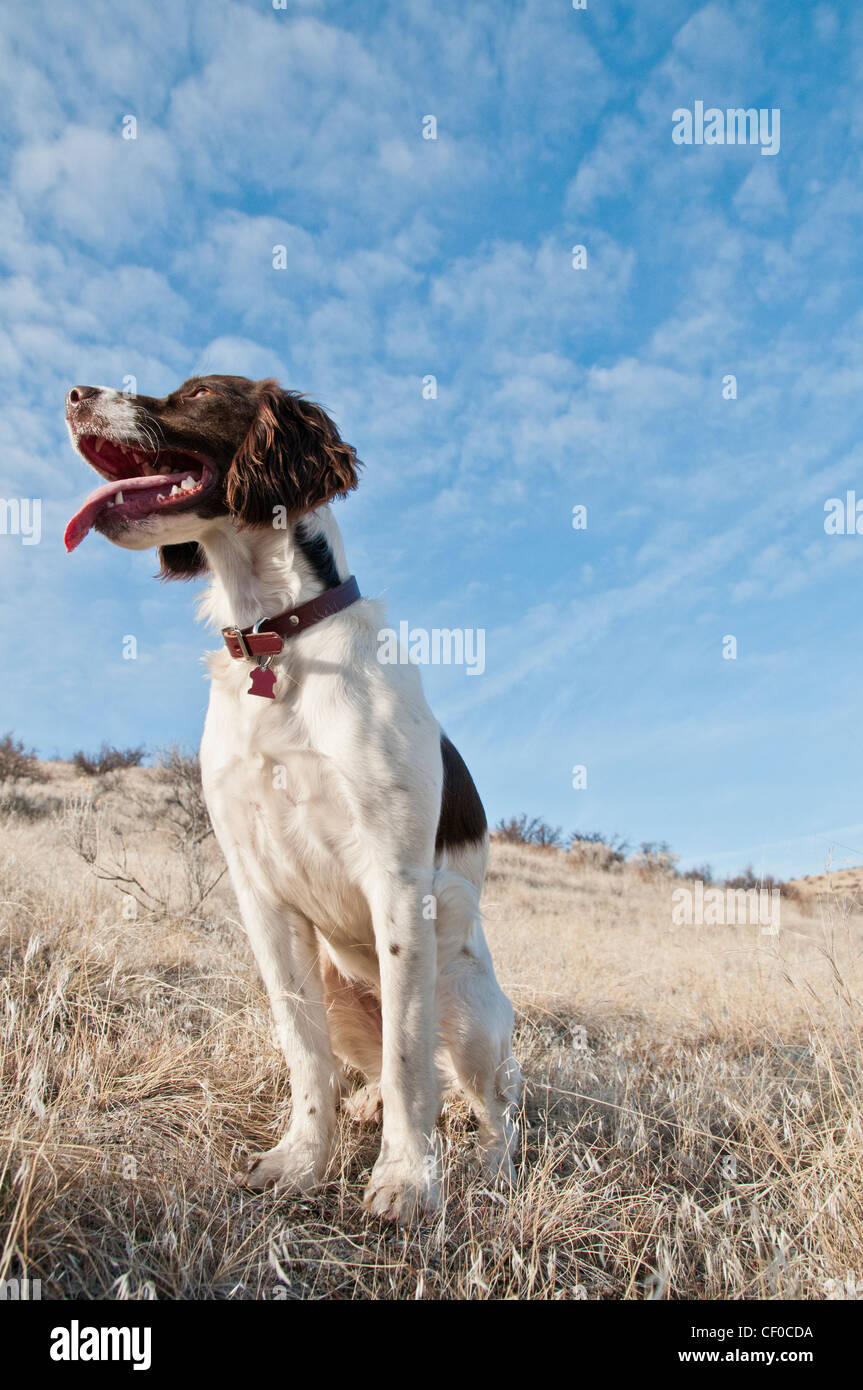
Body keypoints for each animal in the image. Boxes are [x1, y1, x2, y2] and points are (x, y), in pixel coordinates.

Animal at [63, 375, 522, 1223]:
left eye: (198, 392)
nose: (75, 393)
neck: (277, 636)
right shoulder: (259, 888)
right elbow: (303, 1051)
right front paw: (303, 1160)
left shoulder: (395, 880)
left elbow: (410, 1059)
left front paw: (406, 1179)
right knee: (392, 1074)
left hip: (471, 1009)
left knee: (492, 1098)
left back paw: (491, 1167)